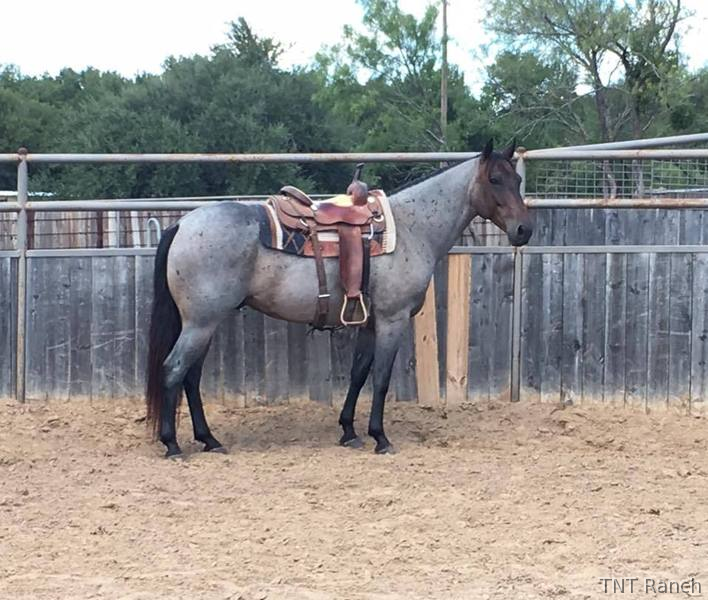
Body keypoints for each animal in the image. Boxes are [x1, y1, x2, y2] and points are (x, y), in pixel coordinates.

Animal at [145, 139, 533, 458]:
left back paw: (209, 439)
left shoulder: (370, 322)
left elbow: (359, 373)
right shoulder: (392, 320)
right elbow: (381, 377)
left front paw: (349, 431)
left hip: (202, 325)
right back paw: (173, 444)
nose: (524, 230)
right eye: (494, 180)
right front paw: (380, 437)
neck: (412, 228)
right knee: (174, 369)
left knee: (191, 377)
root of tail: (182, 225)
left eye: (517, 181)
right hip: (200, 324)